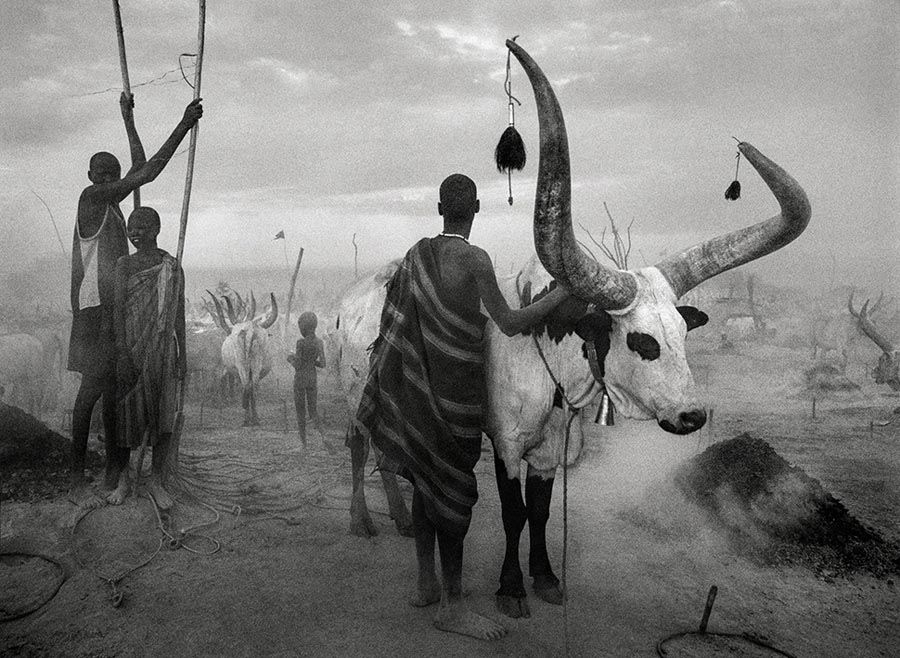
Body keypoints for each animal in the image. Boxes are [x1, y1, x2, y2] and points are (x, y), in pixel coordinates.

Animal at [207, 290, 278, 422]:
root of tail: (249, 330)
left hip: (242, 366)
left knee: (247, 387)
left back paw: (248, 418)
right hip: (253, 365)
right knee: (251, 387)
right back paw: (253, 418)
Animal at [334, 38, 812, 616]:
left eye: (682, 334)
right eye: (641, 341)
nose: (693, 416)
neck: (550, 362)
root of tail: (350, 297)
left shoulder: (549, 450)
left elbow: (540, 512)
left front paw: (545, 578)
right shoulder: (508, 443)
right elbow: (514, 513)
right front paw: (511, 588)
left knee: (392, 455)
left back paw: (405, 520)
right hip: (357, 393)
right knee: (361, 448)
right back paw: (365, 521)